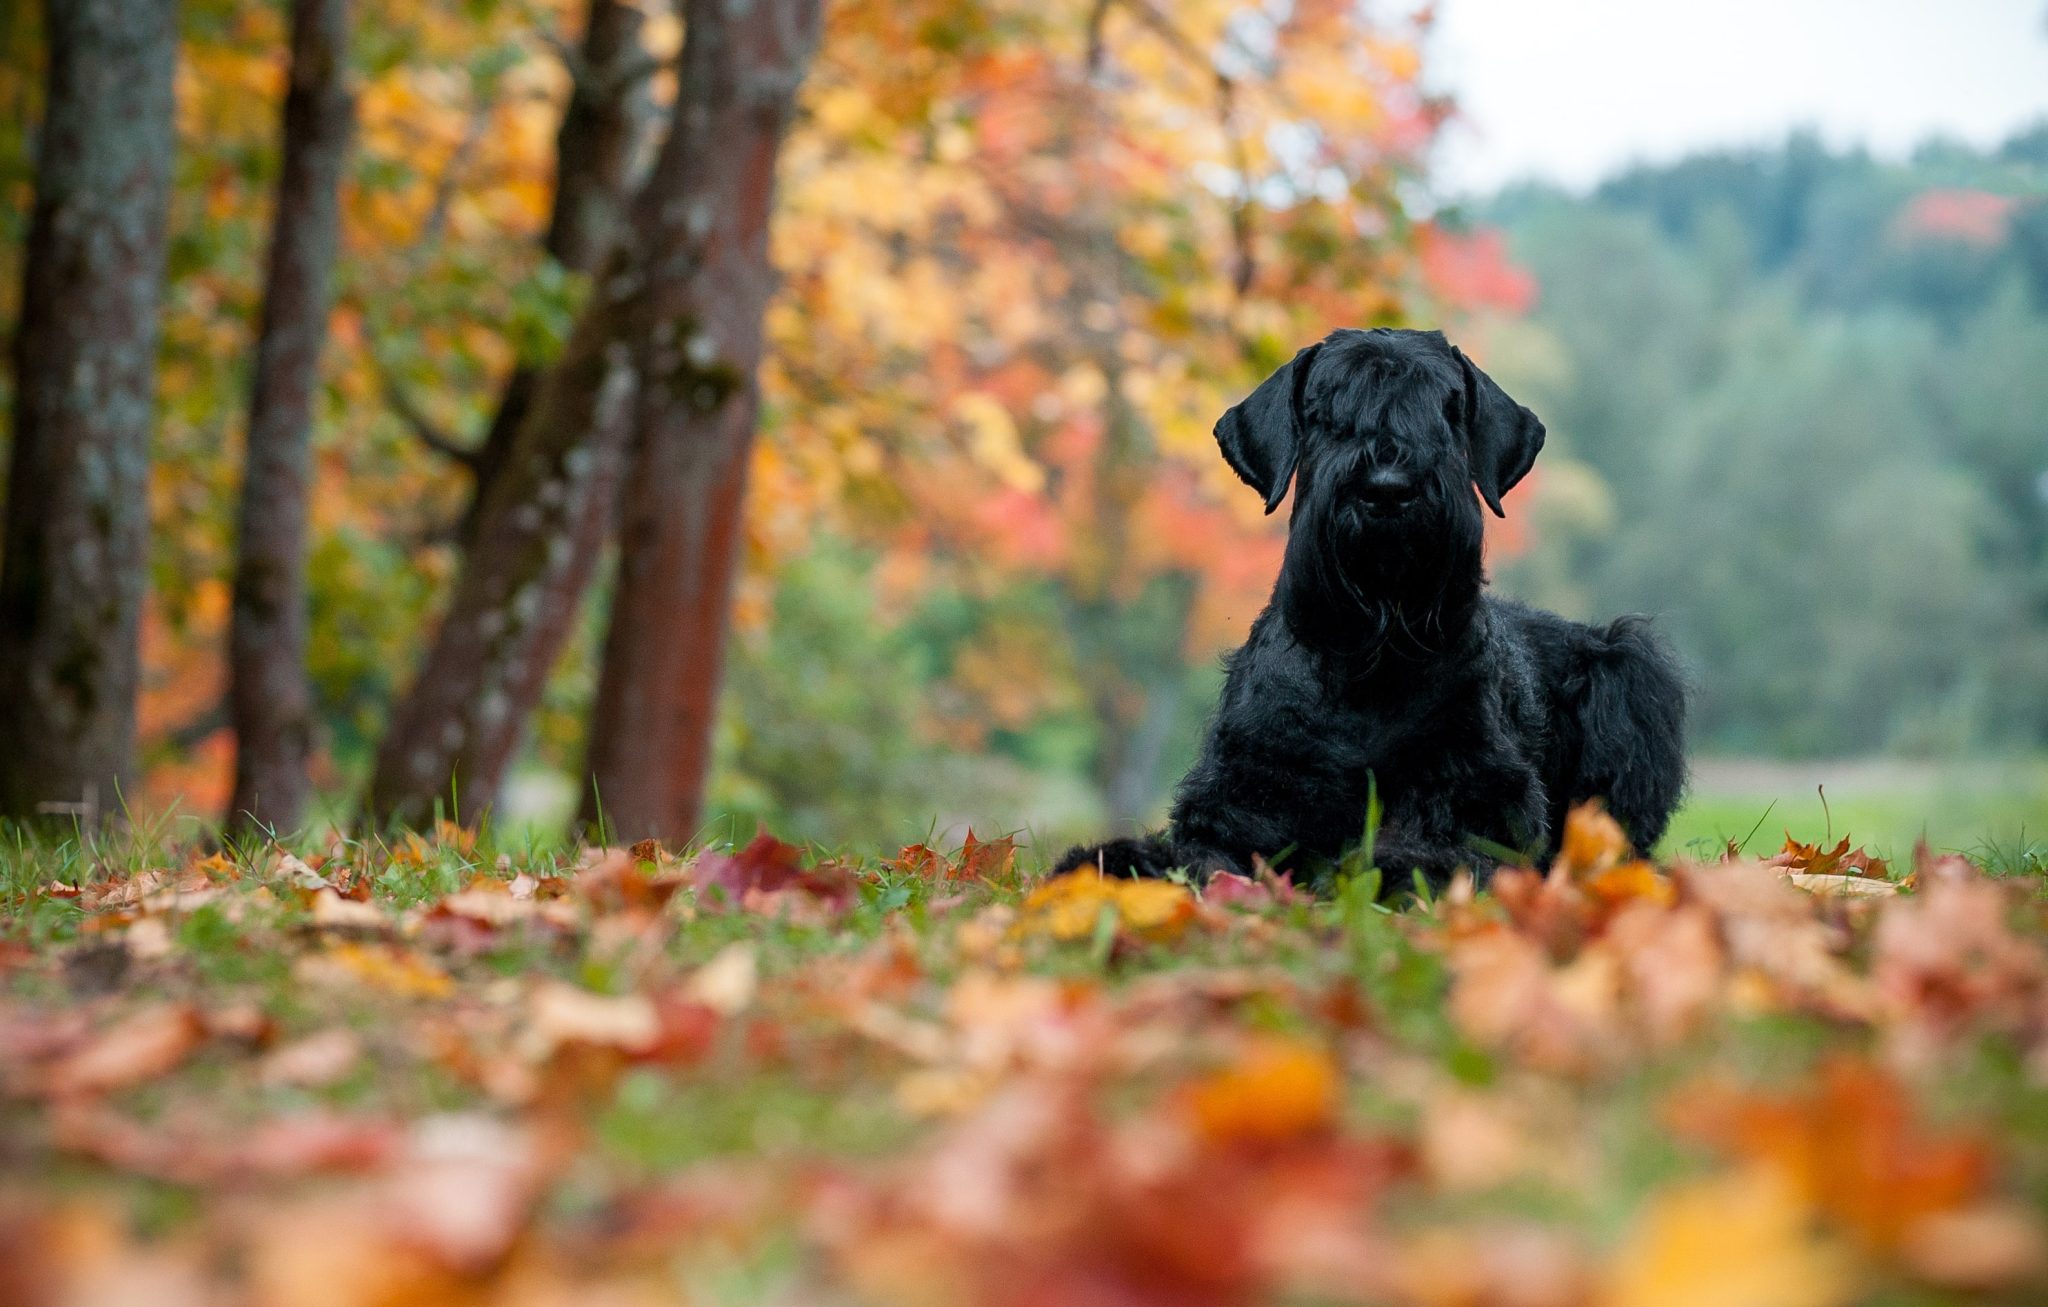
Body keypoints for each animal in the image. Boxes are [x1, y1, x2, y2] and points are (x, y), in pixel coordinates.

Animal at [1056, 325, 1679, 893]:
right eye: (1326, 411)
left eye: (1447, 410)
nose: (1387, 487)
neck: (1371, 658)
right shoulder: (1243, 796)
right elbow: (1198, 852)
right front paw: (1116, 861)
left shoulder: (1479, 797)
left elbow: (1447, 849)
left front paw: (1382, 870)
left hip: (1629, 663)